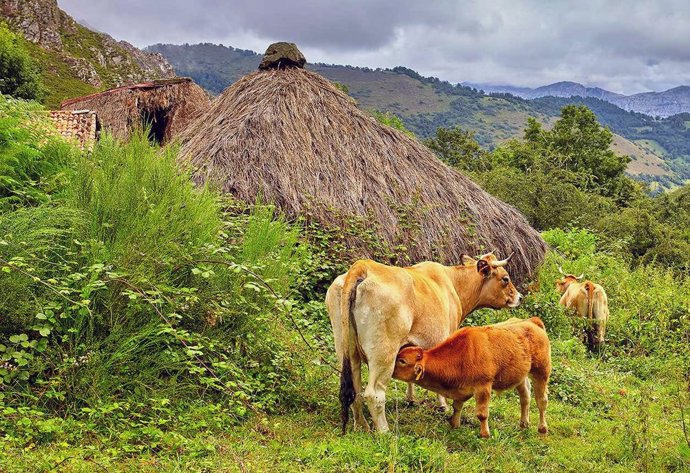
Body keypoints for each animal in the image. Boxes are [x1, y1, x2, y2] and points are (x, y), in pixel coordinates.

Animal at [329, 252, 521, 433]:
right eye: (505, 278)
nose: (519, 297)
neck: (454, 284)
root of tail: (363, 265)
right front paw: (442, 404)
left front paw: (411, 399)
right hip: (383, 354)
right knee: (373, 394)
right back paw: (384, 431)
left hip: (347, 350)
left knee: (355, 390)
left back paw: (362, 426)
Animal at [392, 317, 551, 438]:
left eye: (402, 361)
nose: (390, 369)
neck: (462, 354)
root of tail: (532, 321)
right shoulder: (460, 388)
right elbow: (456, 406)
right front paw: (454, 424)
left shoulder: (483, 386)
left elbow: (482, 413)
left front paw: (484, 434)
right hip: (520, 376)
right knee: (525, 397)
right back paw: (523, 423)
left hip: (542, 371)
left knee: (541, 401)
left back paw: (542, 428)